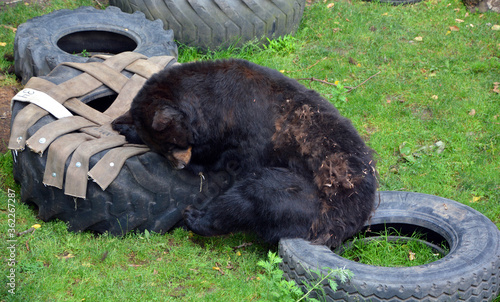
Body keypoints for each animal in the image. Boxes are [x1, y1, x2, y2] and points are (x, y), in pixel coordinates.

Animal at [112, 59, 376, 248]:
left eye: (171, 145)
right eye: (163, 148)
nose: (178, 166)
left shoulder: (238, 134)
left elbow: (212, 160)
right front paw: (123, 126)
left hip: (309, 203)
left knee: (254, 193)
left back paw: (195, 217)